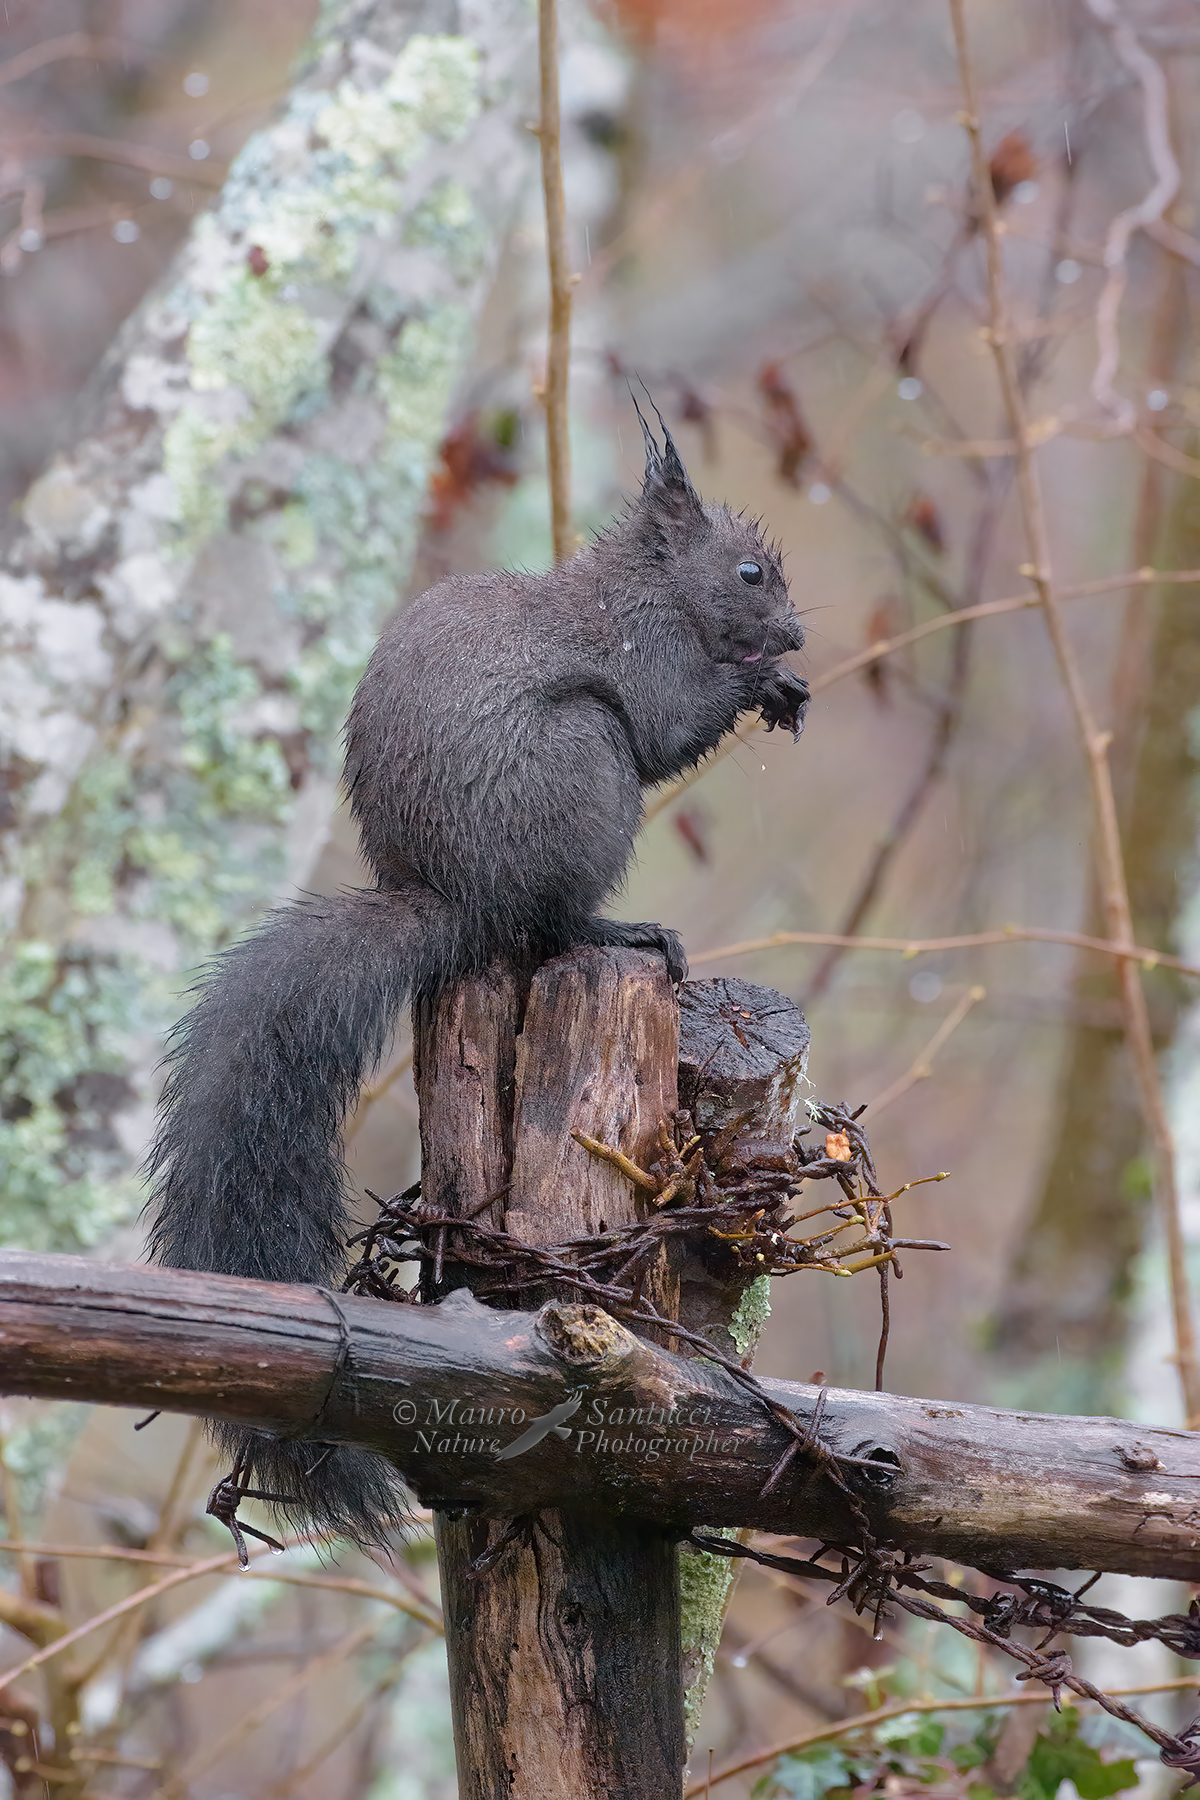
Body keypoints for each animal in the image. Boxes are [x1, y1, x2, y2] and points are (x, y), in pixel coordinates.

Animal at [146, 400, 809, 1547]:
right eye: (749, 572)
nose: (800, 635)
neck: (646, 591)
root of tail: (454, 902)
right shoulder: (642, 660)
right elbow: (670, 725)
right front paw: (761, 683)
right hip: (583, 771)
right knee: (554, 919)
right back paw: (626, 928)